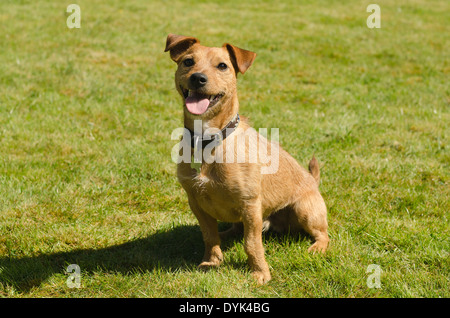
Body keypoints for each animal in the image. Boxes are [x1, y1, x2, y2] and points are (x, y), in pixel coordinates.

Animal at [163, 34, 328, 284]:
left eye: (222, 66)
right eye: (188, 62)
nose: (197, 78)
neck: (209, 141)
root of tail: (313, 182)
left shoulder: (249, 204)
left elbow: (251, 244)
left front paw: (260, 273)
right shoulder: (196, 203)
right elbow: (209, 236)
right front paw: (212, 262)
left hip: (305, 211)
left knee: (324, 234)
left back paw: (317, 248)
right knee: (233, 229)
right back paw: (226, 234)